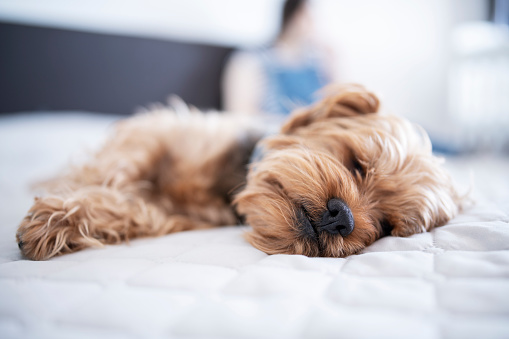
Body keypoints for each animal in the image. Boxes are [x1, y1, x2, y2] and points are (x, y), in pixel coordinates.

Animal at [15, 85, 460, 260]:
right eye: (355, 162)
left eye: (385, 226)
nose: (344, 219)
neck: (227, 184)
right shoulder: (156, 133)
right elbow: (117, 169)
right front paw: (62, 208)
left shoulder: (175, 216)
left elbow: (132, 208)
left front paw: (60, 221)